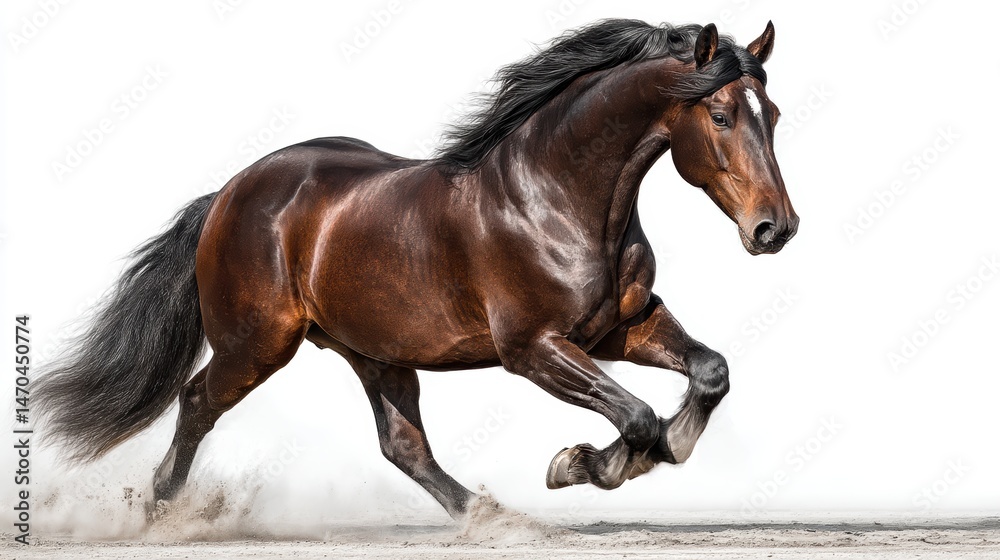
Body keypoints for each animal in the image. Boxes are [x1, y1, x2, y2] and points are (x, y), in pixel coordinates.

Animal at [36, 19, 797, 520]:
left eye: (774, 112)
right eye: (722, 114)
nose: (775, 228)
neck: (556, 196)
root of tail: (228, 193)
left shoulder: (621, 327)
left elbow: (709, 372)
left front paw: (664, 447)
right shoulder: (534, 349)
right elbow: (636, 417)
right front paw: (582, 464)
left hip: (374, 350)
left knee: (402, 445)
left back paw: (490, 519)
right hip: (258, 343)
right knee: (196, 402)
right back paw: (160, 510)